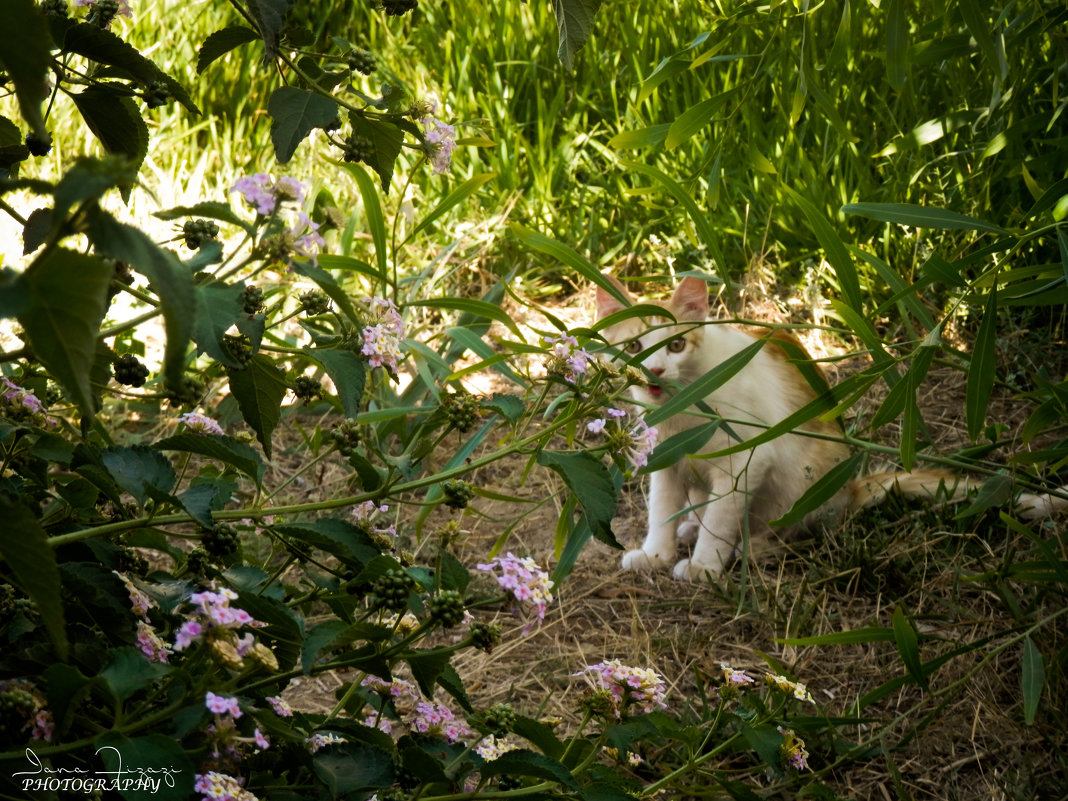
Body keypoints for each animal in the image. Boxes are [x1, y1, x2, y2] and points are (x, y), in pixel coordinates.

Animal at [598, 275, 1063, 585]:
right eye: (633, 347)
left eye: (675, 346)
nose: (655, 372)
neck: (682, 411)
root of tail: (850, 488)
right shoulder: (665, 460)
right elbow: (661, 510)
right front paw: (656, 554)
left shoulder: (746, 459)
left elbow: (720, 518)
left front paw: (704, 565)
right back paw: (691, 528)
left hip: (802, 488)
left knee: (795, 532)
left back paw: (754, 547)